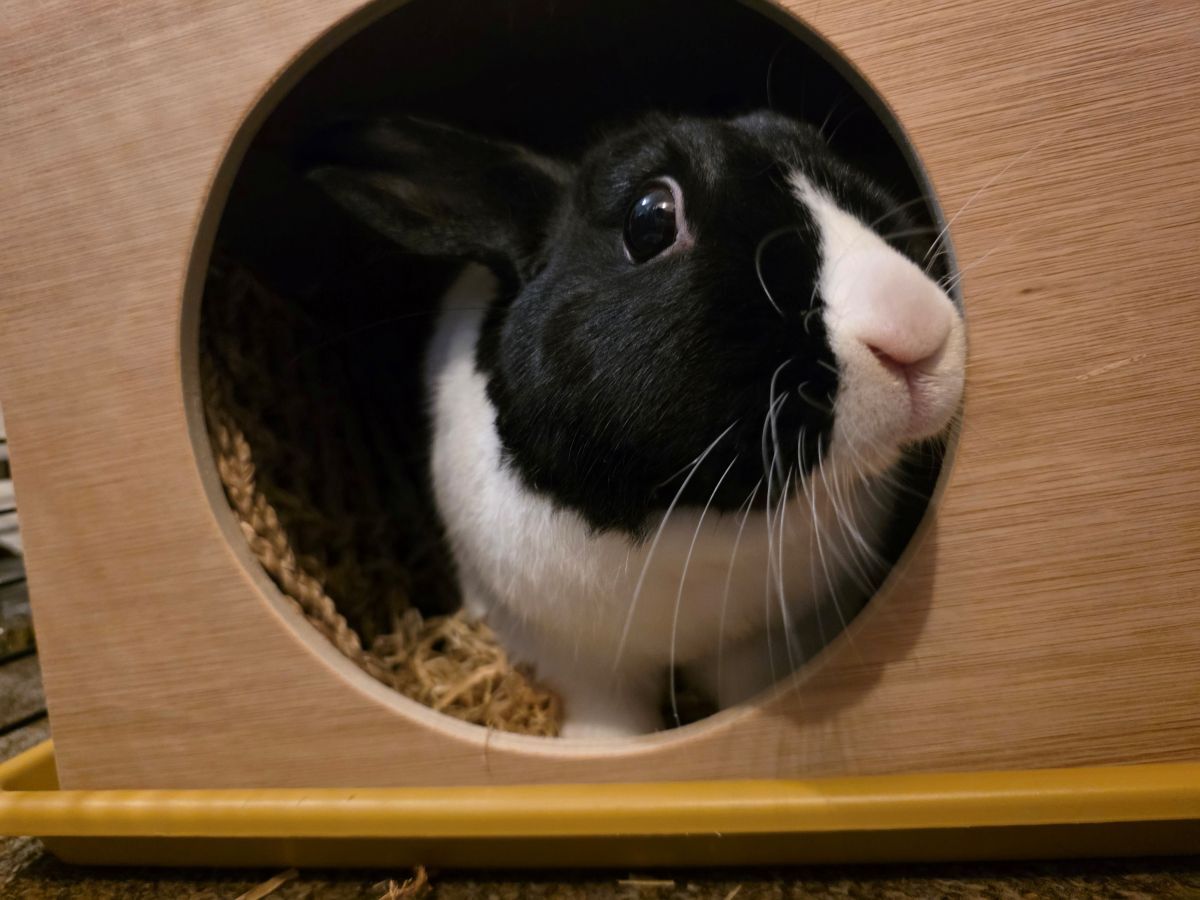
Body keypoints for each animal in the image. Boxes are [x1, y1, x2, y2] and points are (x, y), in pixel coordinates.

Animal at [307, 110, 965, 738]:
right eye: (649, 220)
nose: (918, 332)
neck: (691, 518)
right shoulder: (572, 660)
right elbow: (607, 719)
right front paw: (595, 747)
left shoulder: (767, 644)